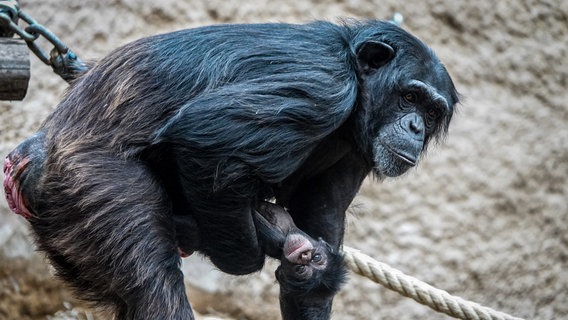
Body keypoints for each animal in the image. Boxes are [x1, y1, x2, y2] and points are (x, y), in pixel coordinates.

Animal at [2, 18, 460, 318]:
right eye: (409, 97)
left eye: (432, 111)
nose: (417, 126)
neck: (359, 88)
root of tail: (25, 162)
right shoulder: (321, 86)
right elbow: (206, 139)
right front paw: (251, 246)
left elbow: (323, 214)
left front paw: (310, 272)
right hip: (91, 181)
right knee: (152, 281)